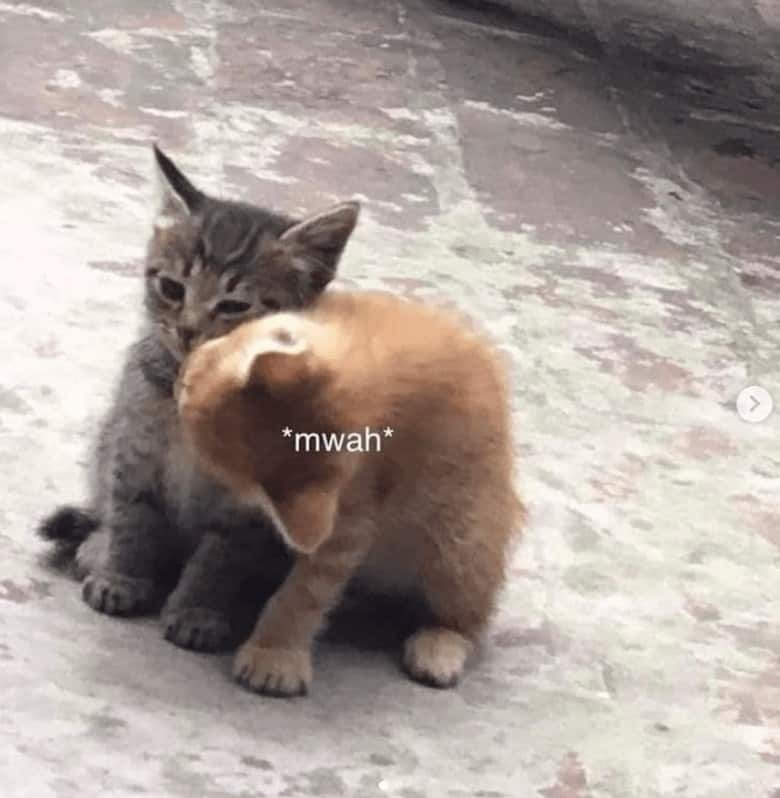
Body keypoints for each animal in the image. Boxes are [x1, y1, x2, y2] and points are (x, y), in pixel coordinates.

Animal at [38, 145, 360, 652]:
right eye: (171, 288)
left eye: (234, 306)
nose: (188, 330)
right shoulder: (133, 453)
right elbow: (132, 521)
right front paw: (121, 576)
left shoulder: (246, 506)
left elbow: (219, 558)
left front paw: (197, 611)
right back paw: (96, 546)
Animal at [176, 289, 525, 695]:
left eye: (190, 386)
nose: (181, 375)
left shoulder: (354, 514)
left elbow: (308, 589)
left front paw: (273, 654)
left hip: (462, 536)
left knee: (469, 612)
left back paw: (440, 645)